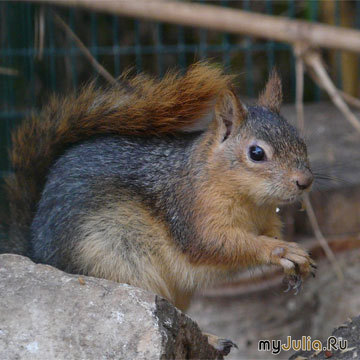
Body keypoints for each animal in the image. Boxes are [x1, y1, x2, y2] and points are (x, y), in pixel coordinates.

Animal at [0, 62, 316, 354]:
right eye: (256, 153)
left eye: (301, 140)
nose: (305, 181)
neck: (251, 202)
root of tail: (35, 251)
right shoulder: (190, 212)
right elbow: (215, 244)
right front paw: (281, 251)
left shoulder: (266, 220)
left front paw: (293, 260)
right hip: (115, 262)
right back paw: (211, 339)